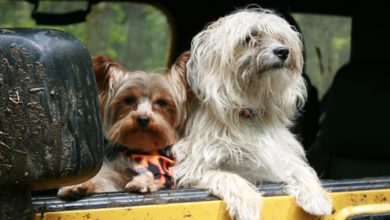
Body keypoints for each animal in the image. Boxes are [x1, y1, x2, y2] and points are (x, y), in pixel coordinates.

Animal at [172, 6, 334, 220]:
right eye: (250, 38)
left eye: (281, 38)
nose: (283, 51)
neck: (250, 112)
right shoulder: (194, 166)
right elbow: (227, 176)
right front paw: (247, 201)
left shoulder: (278, 156)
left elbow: (300, 169)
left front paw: (316, 196)